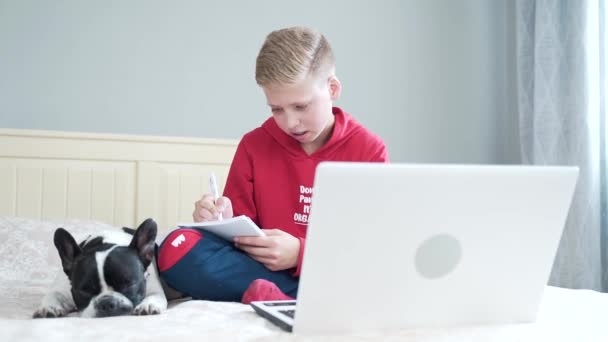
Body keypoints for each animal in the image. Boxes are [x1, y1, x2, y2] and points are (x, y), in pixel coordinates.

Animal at [32, 219, 180, 318]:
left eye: (129, 284)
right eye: (84, 291)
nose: (107, 303)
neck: (105, 242)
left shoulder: (154, 288)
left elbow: (155, 296)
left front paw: (147, 305)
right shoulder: (61, 288)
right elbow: (52, 295)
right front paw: (48, 307)